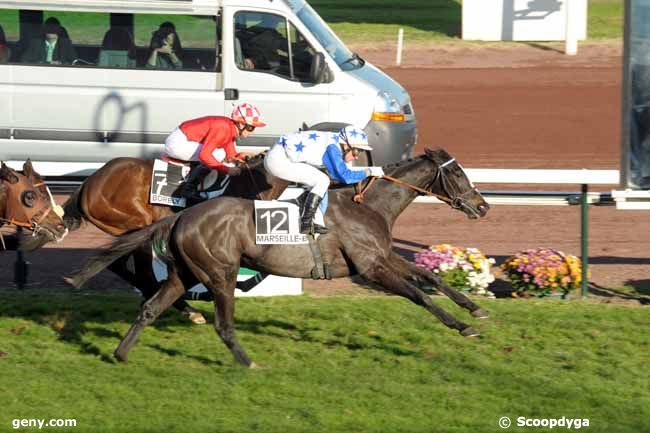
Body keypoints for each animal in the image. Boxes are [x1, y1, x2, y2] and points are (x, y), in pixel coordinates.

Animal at [27, 154, 286, 322]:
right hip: (137, 223)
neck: (247, 184)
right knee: (139, 268)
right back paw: (182, 307)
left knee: (120, 263)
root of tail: (90, 182)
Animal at [68, 148, 488, 364]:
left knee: (151, 306)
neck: (369, 206)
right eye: (458, 175)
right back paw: (245, 359)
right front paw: (460, 325)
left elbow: (430, 278)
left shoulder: (382, 257)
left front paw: (475, 310)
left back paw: (122, 353)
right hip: (218, 272)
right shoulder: (370, 267)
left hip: (185, 272)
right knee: (217, 319)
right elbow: (417, 294)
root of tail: (182, 216)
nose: (483, 206)